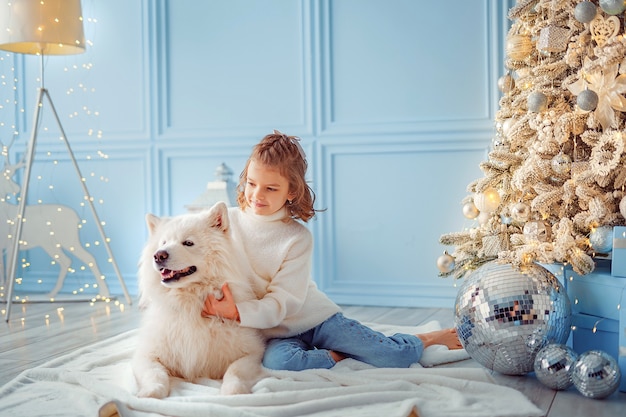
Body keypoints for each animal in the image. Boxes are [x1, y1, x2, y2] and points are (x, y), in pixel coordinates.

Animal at [133, 202, 264, 396]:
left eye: (188, 243)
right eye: (164, 242)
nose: (158, 255)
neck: (189, 302)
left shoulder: (252, 352)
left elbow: (234, 371)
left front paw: (233, 392)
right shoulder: (146, 354)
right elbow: (156, 374)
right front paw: (151, 393)